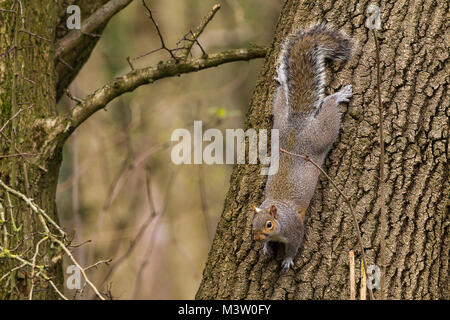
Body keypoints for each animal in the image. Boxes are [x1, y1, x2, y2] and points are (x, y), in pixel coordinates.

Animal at [251, 23, 354, 272]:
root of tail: (297, 122)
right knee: (281, 99)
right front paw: (266, 248)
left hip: (321, 134)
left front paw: (287, 260)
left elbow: (294, 246)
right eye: (252, 223)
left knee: (329, 110)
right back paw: (281, 77)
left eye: (269, 224)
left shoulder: (295, 229)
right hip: (280, 117)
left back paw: (339, 96)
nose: (257, 238)